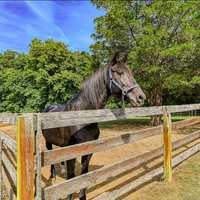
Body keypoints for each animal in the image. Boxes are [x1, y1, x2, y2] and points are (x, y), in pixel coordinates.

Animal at [42, 52, 145, 200]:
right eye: (119, 72)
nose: (141, 97)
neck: (82, 117)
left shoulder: (88, 150)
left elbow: (83, 175)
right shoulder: (71, 150)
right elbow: (71, 177)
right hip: (48, 142)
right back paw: (53, 176)